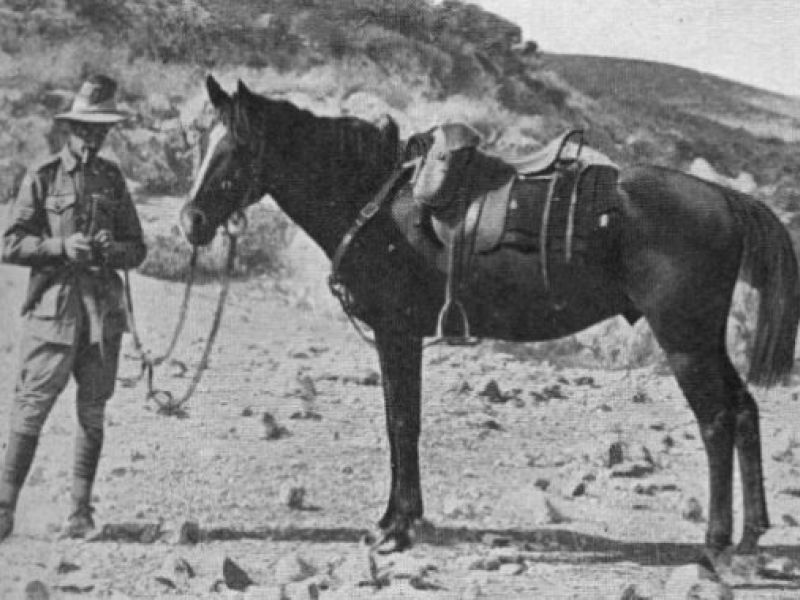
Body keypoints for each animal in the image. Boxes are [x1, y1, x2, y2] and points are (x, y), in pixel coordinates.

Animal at [181, 74, 800, 564]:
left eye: (236, 146)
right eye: (201, 143)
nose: (190, 221)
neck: (376, 203)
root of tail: (724, 198)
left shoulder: (396, 333)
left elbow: (401, 423)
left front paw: (397, 528)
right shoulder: (399, 336)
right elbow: (400, 421)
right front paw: (397, 519)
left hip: (684, 342)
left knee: (716, 422)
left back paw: (716, 543)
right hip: (705, 342)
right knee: (743, 412)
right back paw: (751, 536)